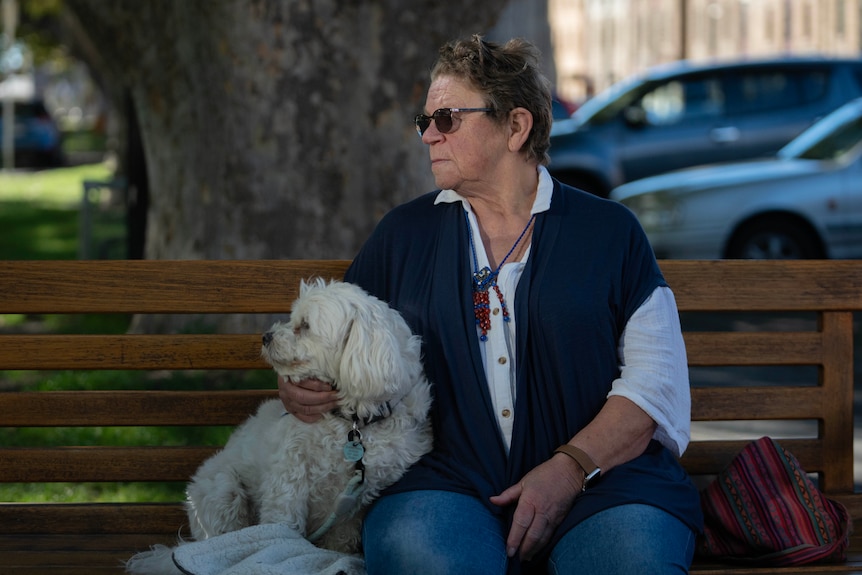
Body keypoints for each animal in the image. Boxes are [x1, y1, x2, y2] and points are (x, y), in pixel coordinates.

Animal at [125, 278, 436, 572]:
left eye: (305, 325)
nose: (266, 336)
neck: (352, 423)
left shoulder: (358, 498)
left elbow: (342, 540)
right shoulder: (289, 478)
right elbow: (283, 524)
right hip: (223, 491)